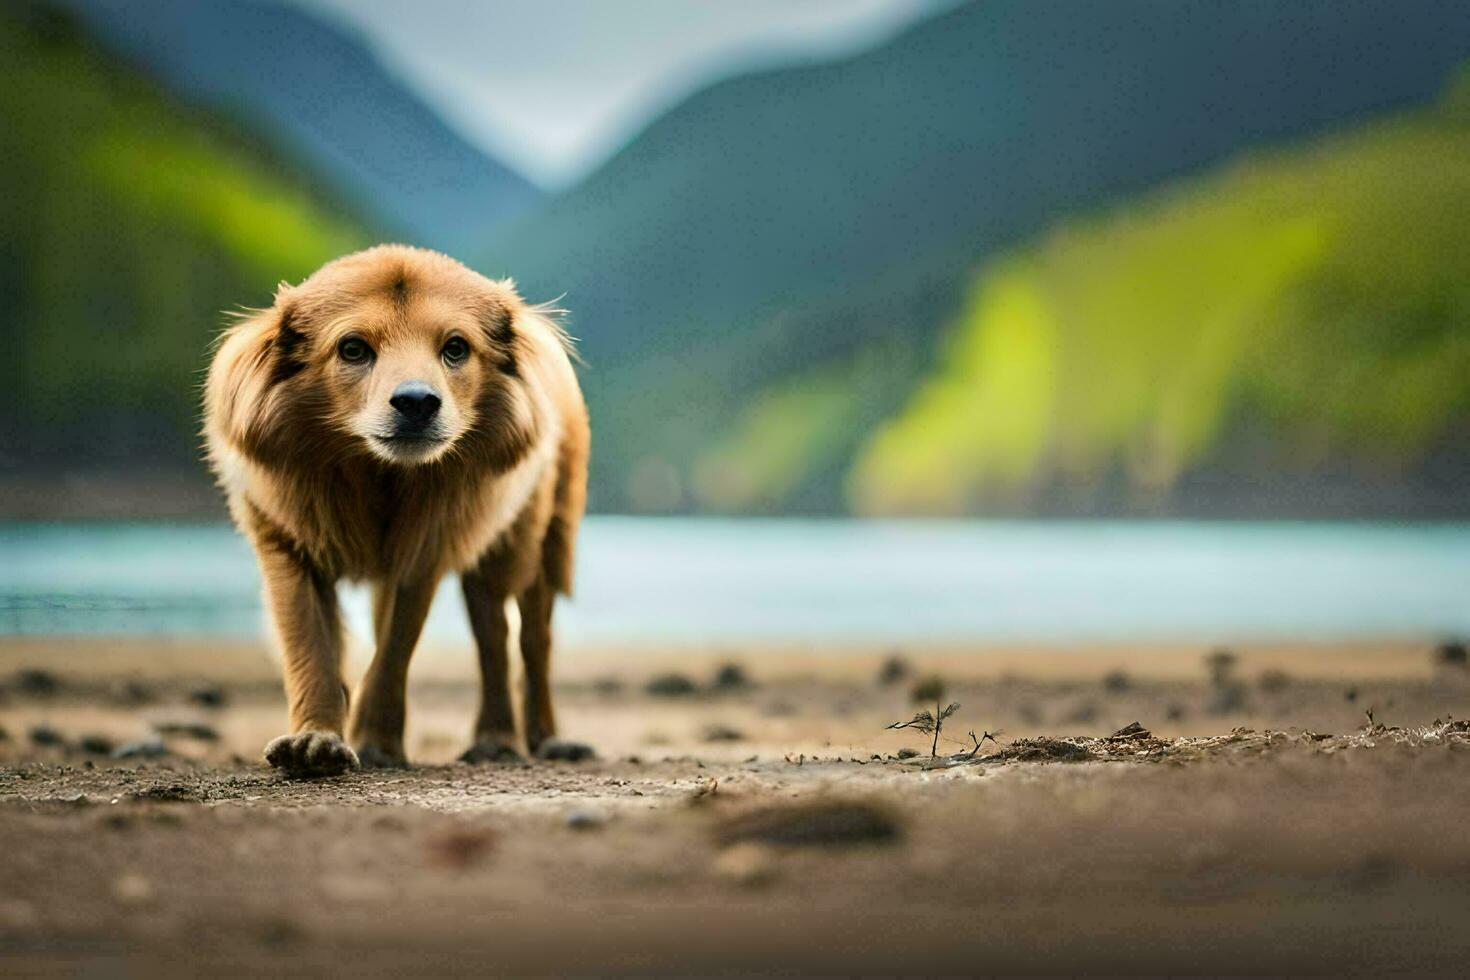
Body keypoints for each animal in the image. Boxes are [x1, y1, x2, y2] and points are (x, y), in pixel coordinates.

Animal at [202, 245, 590, 775]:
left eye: (455, 348)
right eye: (353, 349)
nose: (416, 402)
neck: (378, 474)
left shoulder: (425, 550)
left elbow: (393, 652)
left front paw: (378, 742)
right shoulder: (287, 541)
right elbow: (309, 647)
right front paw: (317, 738)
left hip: (530, 541)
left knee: (515, 636)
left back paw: (517, 738)